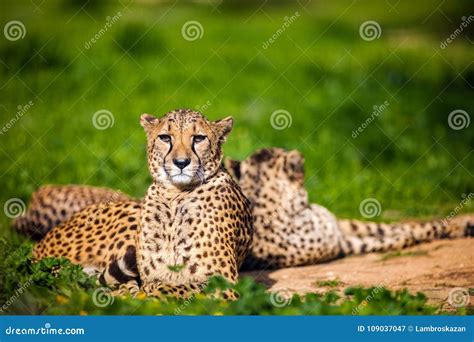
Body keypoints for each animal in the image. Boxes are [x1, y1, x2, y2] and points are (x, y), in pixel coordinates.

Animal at [31, 109, 254, 296]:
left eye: (199, 138)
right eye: (165, 137)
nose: (181, 163)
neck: (174, 195)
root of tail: (39, 245)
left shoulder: (224, 283)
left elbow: (172, 287)